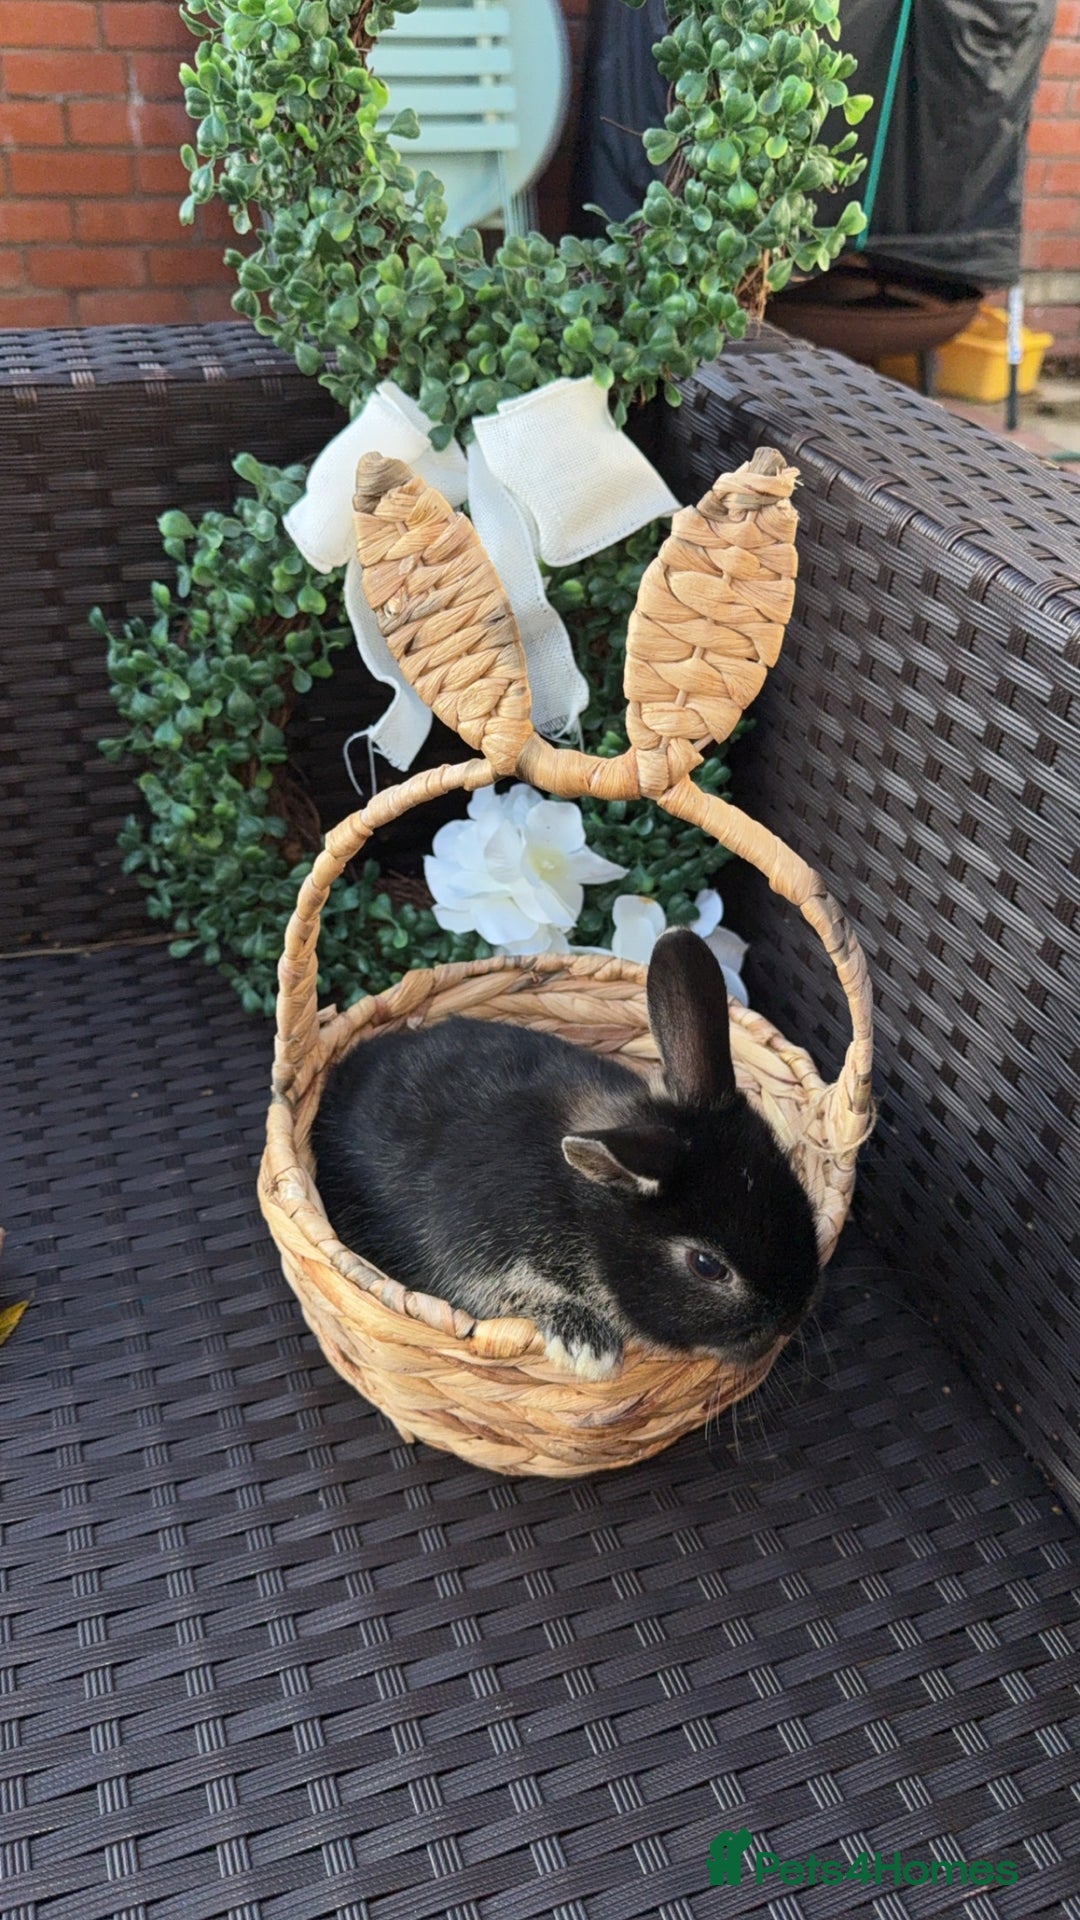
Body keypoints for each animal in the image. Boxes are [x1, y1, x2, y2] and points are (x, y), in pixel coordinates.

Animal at [311, 927, 821, 1379]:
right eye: (708, 1266)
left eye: (798, 1192)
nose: (789, 1321)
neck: (585, 1204)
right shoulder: (476, 1255)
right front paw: (589, 1348)